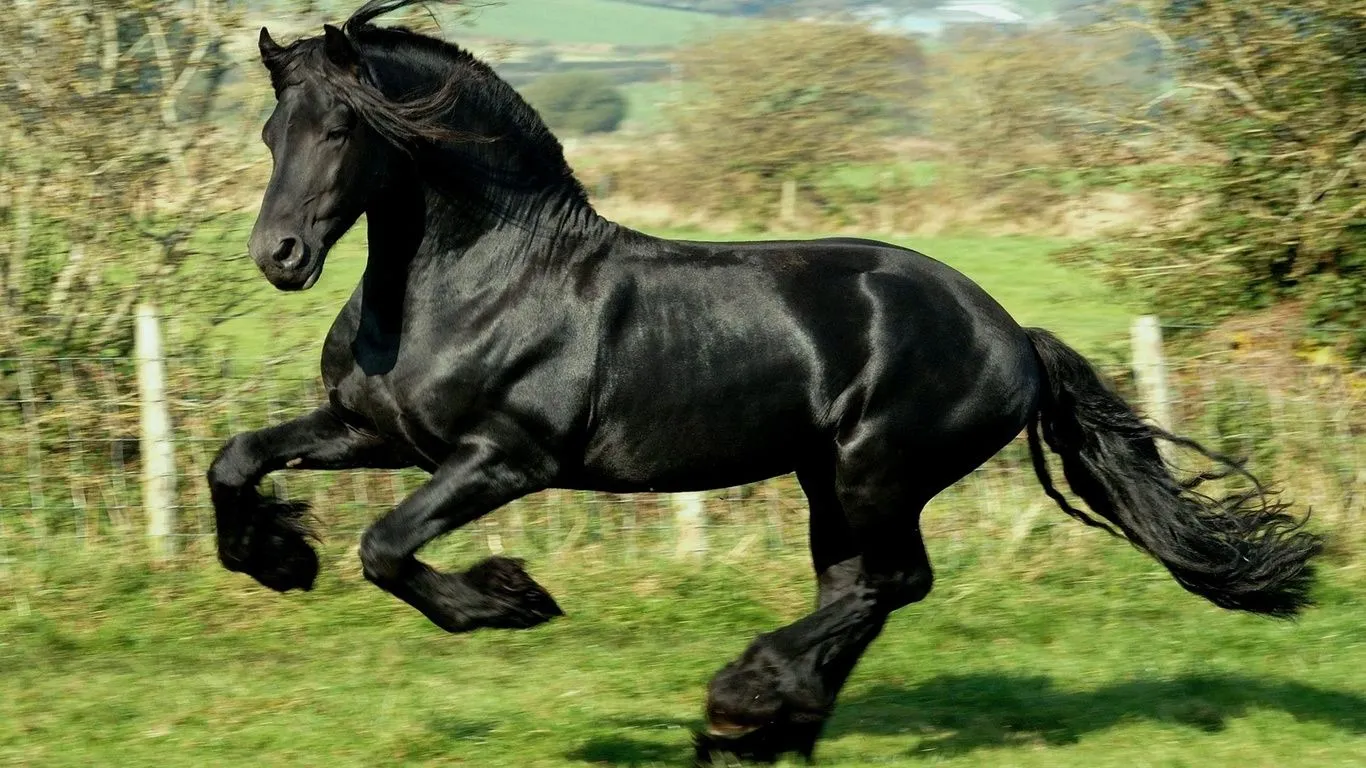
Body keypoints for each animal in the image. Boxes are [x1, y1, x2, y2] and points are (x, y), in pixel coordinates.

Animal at [213, 2, 1322, 759]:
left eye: (342, 130)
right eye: (271, 132)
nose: (279, 256)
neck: (482, 277)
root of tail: (1010, 330)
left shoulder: (505, 459)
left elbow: (386, 547)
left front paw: (512, 601)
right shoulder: (377, 432)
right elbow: (237, 461)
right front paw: (277, 559)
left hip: (878, 469)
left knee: (888, 582)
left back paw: (742, 702)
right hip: (827, 478)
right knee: (860, 589)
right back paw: (770, 727)